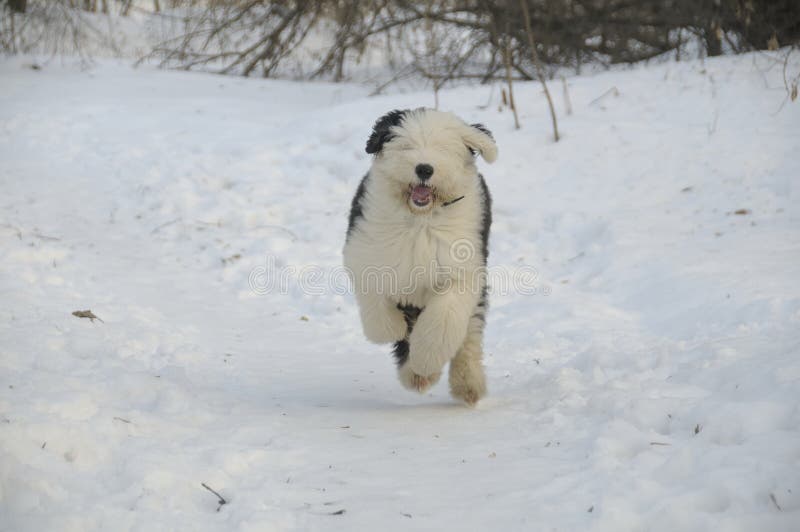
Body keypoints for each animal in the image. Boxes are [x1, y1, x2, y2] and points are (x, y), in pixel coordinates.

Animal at [346, 110, 500, 406]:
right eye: (406, 146)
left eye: (443, 148)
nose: (424, 169)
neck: (421, 220)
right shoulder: (366, 251)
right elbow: (376, 304)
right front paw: (392, 329)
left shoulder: (462, 269)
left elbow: (444, 319)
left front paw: (426, 358)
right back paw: (416, 374)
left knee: (469, 333)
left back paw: (463, 383)